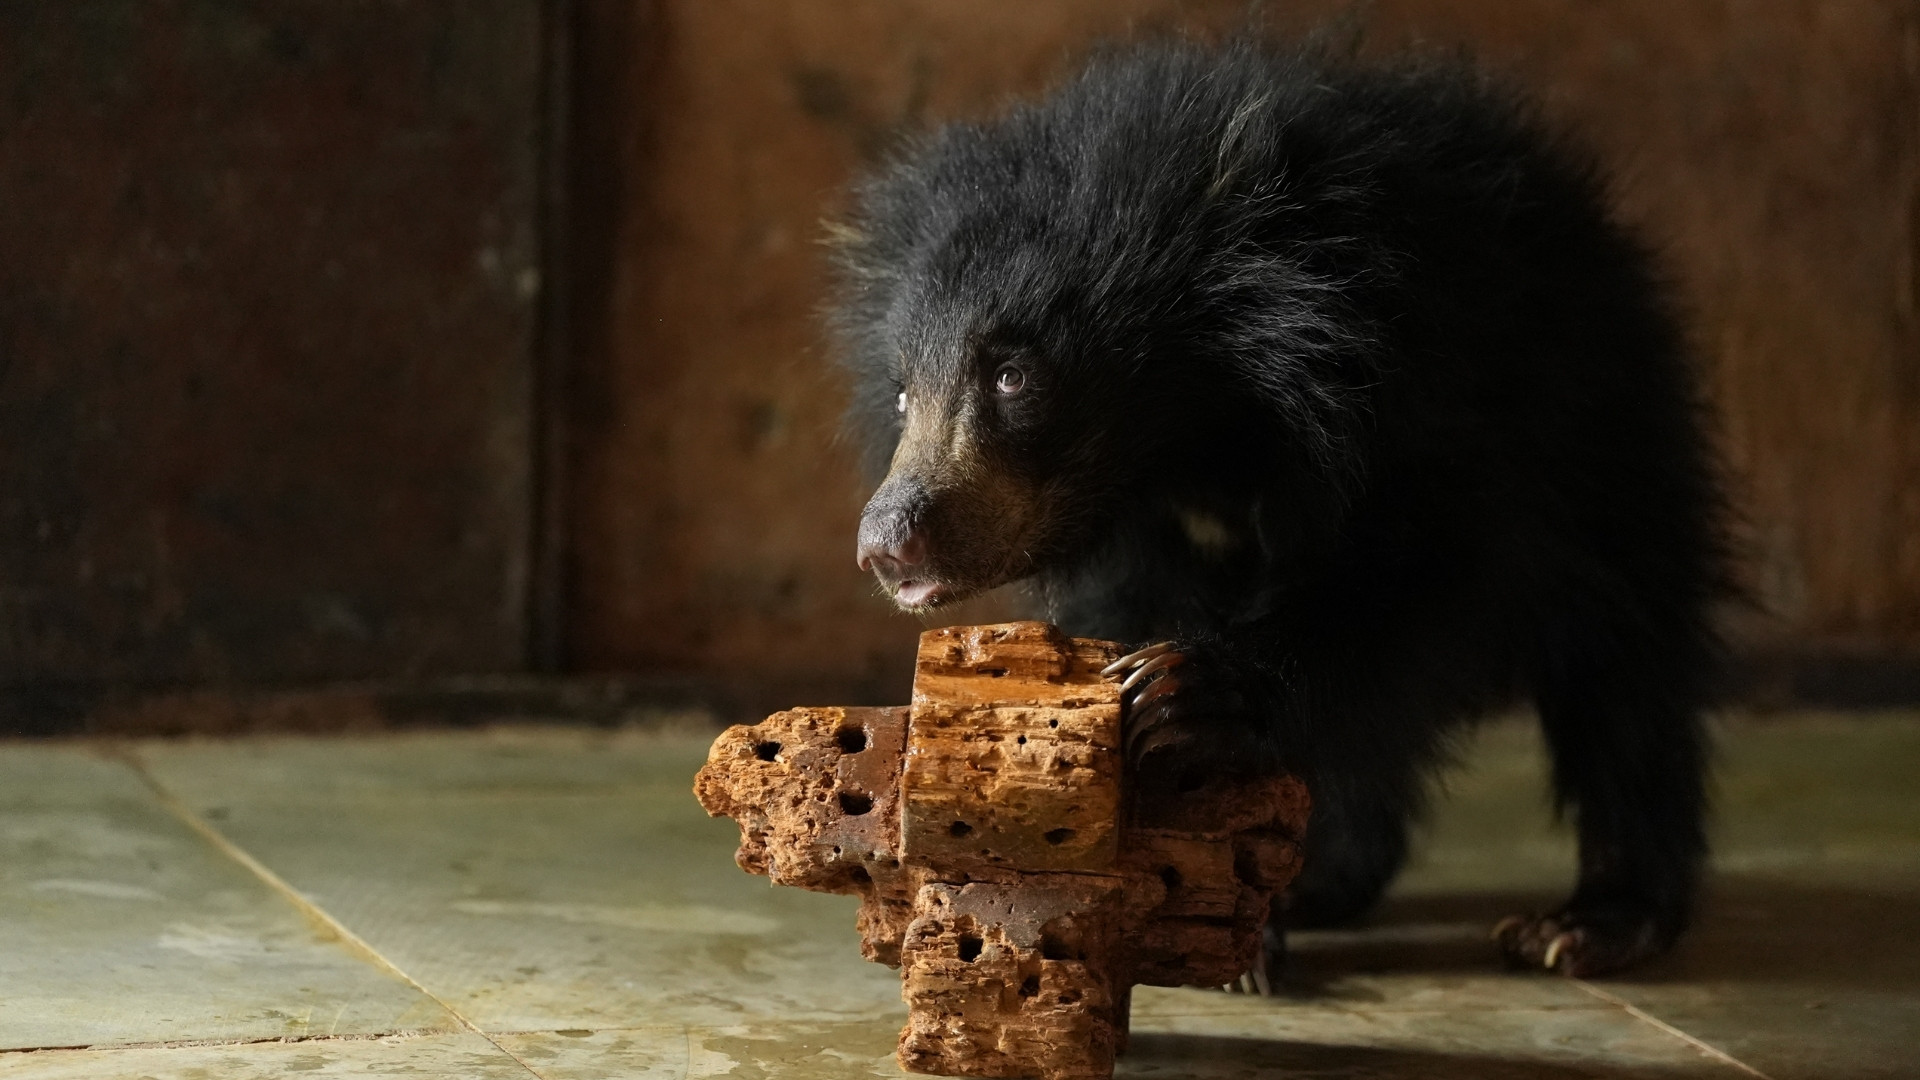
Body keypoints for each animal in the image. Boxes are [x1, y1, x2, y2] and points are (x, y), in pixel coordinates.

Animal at [826, 35, 1729, 981]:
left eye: (1012, 375)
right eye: (902, 393)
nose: (888, 543)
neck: (1200, 425)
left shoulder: (1428, 390)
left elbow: (1421, 576)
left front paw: (1184, 692)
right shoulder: (1140, 533)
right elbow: (1140, 605)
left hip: (1607, 431)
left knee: (1624, 658)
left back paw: (1593, 922)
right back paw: (1325, 877)